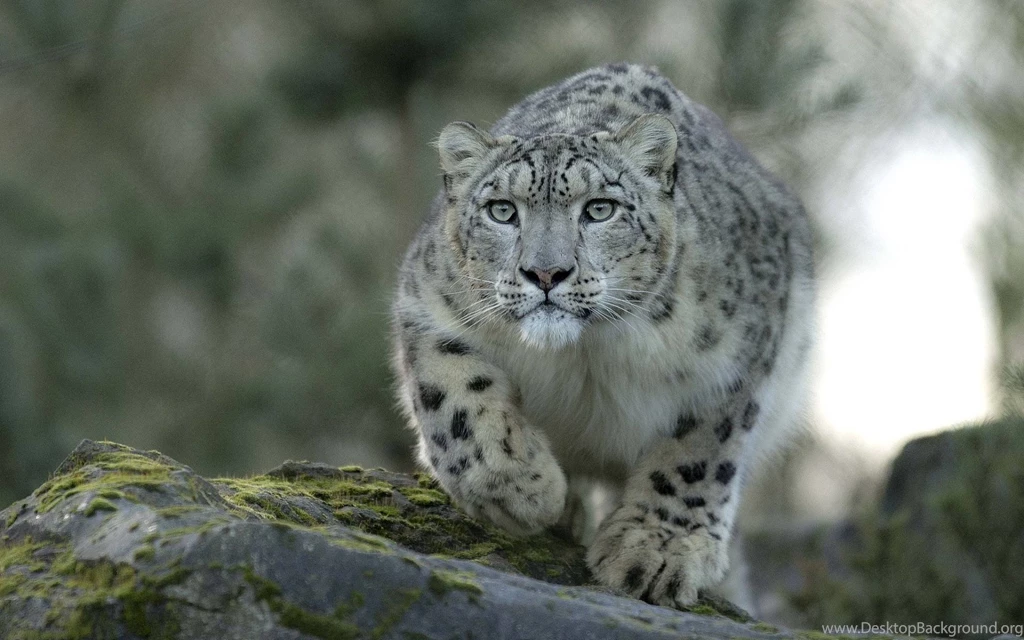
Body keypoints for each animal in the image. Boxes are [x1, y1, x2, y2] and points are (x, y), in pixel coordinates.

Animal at [390, 62, 814, 610]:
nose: (545, 273)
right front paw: (523, 489)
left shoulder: (737, 360)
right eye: (502, 210)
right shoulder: (427, 306)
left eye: (599, 209)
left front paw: (655, 552)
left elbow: (698, 453)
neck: (584, 354)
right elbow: (455, 399)